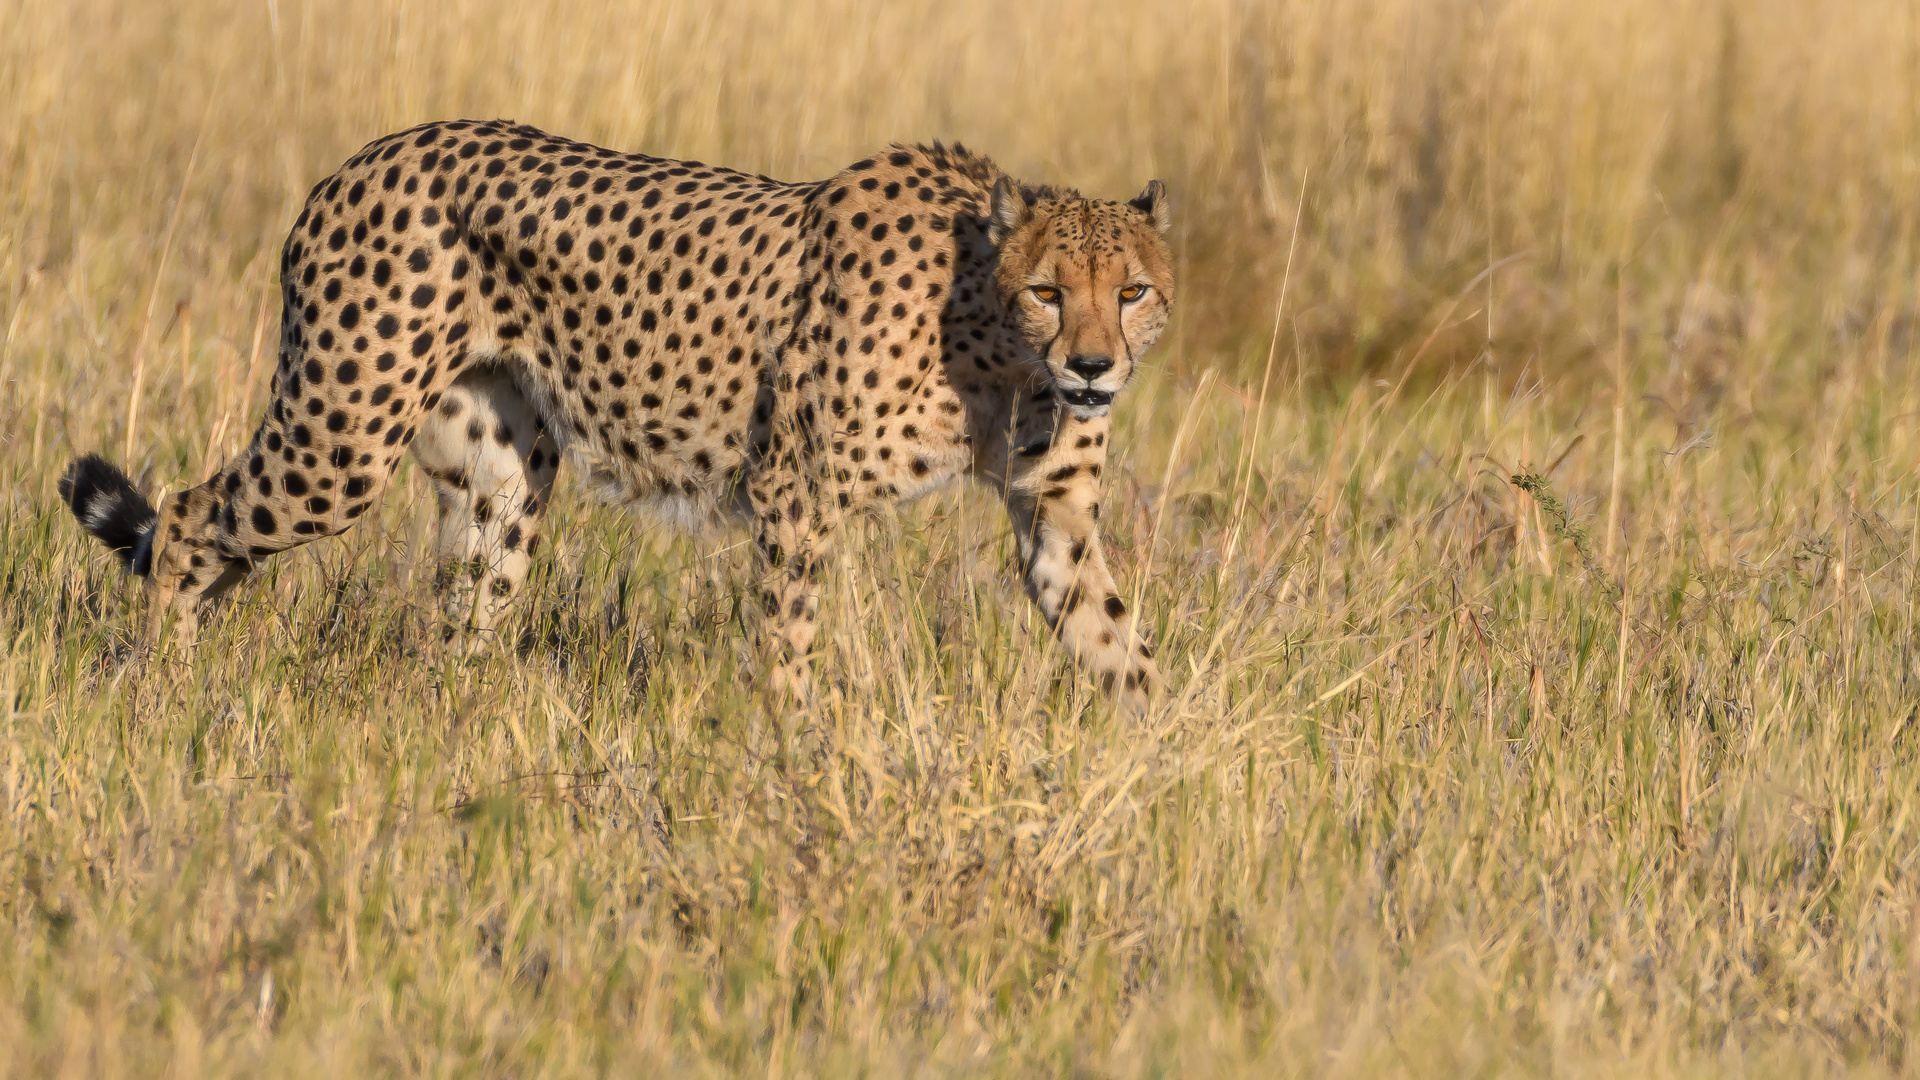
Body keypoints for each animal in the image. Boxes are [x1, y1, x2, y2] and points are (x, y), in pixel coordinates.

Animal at [60, 119, 1167, 707]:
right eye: (1050, 290)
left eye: (1134, 291)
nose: (1095, 366)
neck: (992, 341)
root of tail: (362, 157)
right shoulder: (794, 489)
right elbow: (789, 641)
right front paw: (796, 751)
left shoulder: (1056, 511)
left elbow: (1116, 639)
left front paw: (1164, 765)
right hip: (340, 438)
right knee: (190, 517)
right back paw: (163, 683)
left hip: (500, 475)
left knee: (465, 610)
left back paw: (455, 724)